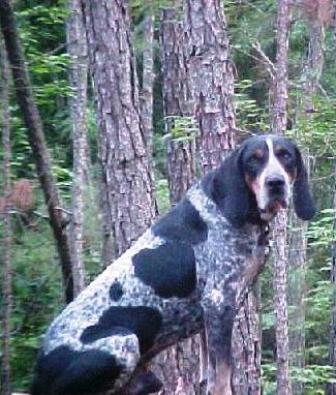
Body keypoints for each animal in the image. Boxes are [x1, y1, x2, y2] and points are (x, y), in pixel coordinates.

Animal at [30, 135, 316, 394]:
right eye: (253, 160)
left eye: (285, 156)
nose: (276, 183)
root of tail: (39, 370)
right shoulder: (218, 301)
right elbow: (222, 377)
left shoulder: (208, 313)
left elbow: (208, 373)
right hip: (124, 340)